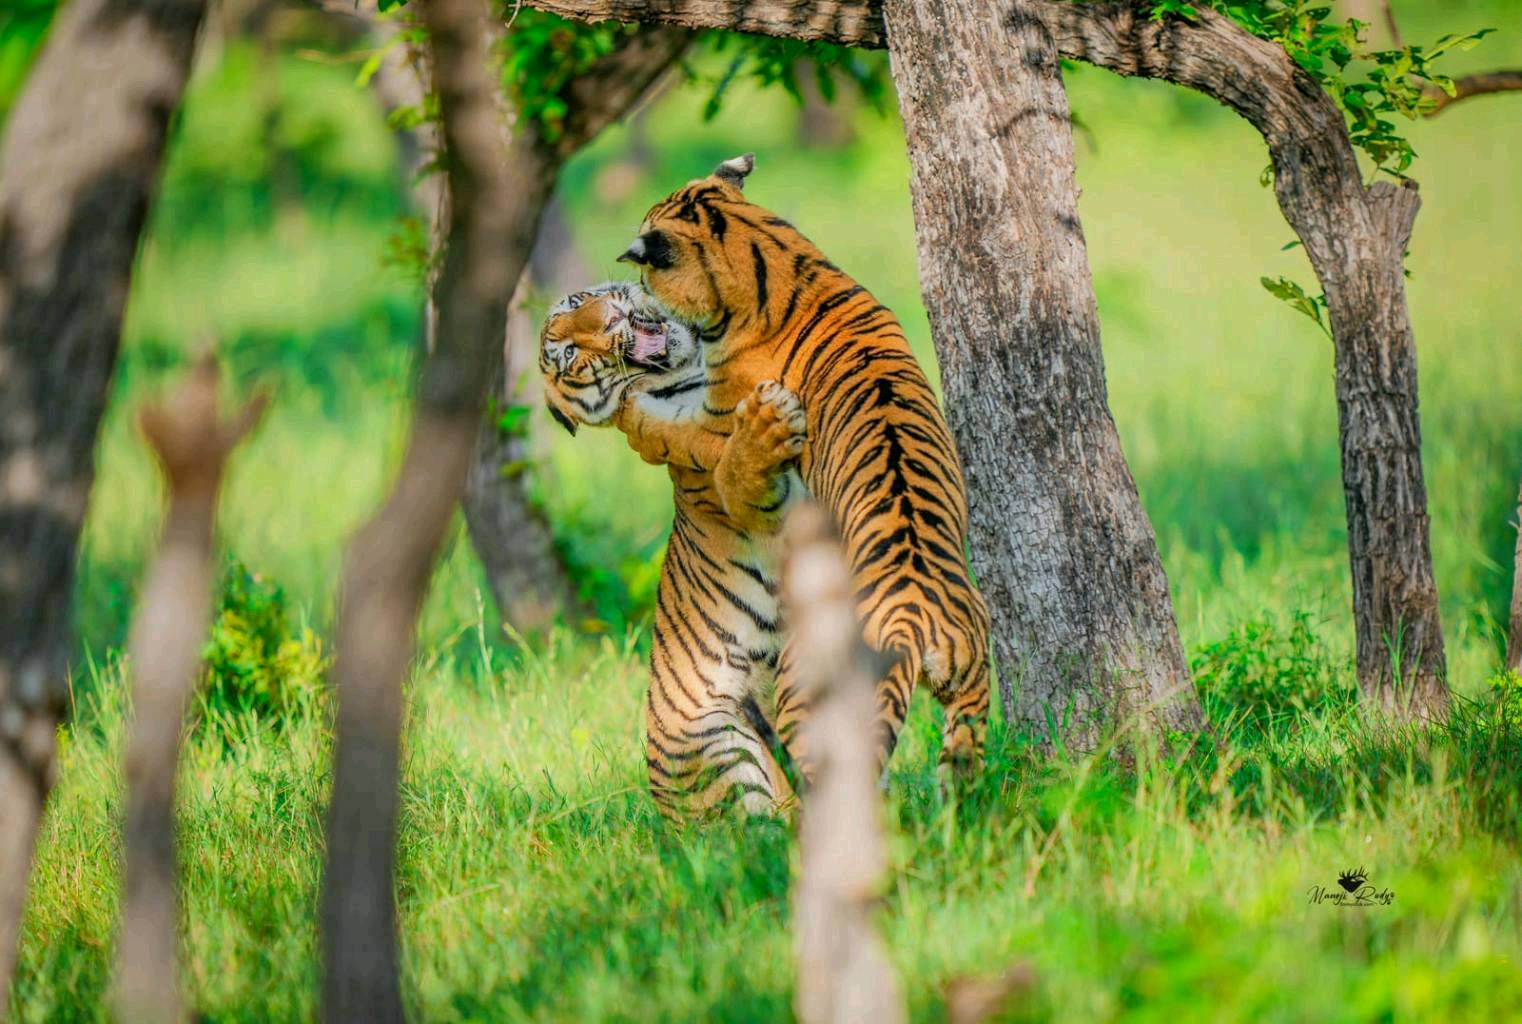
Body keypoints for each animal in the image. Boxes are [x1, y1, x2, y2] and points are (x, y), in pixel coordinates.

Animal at [538, 281, 809, 816]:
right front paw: (767, 423)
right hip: (722, 746)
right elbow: (739, 470)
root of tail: (662, 814)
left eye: (578, 303)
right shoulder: (764, 510)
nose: (610, 317)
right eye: (571, 355)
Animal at [615, 153, 992, 786]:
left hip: (811, 692)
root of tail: (916, 621)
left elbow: (685, 439)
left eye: (646, 275)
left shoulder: (719, 425)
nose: (639, 301)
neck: (769, 251)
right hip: (971, 692)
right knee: (962, 773)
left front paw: (628, 413)